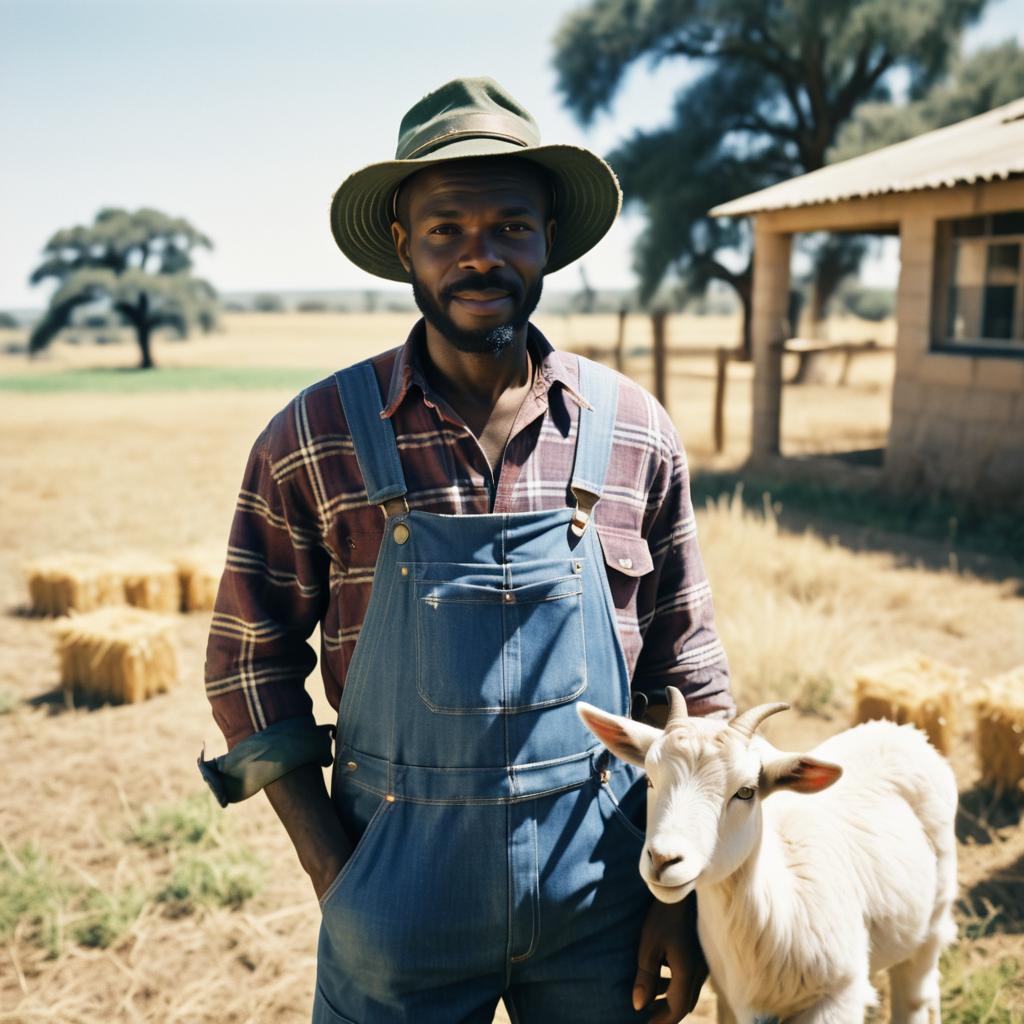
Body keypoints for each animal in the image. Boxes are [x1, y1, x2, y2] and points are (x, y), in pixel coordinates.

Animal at [585, 688, 958, 1024]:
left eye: (746, 791)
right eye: (650, 779)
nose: (664, 860)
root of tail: (902, 731)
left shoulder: (838, 997)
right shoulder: (728, 997)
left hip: (934, 914)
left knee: (916, 993)